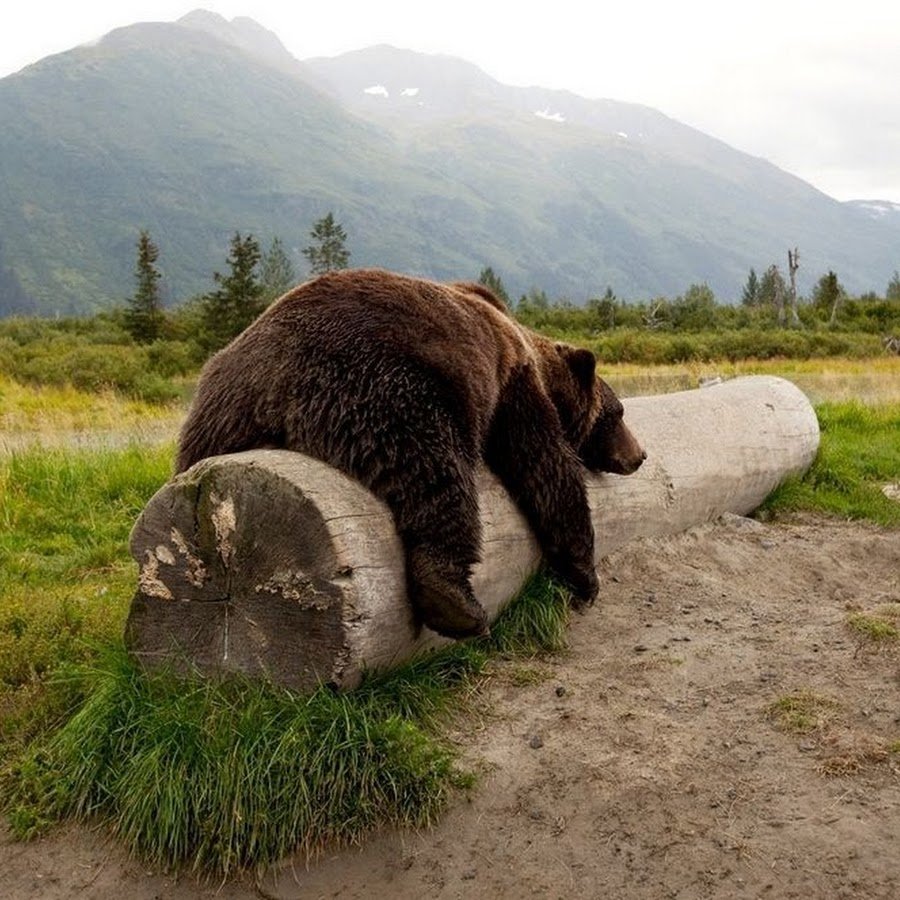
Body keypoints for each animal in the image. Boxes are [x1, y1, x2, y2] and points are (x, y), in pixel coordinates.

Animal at [176, 268, 646, 638]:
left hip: (216, 418)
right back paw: (457, 604)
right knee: (436, 473)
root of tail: (271, 383)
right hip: (387, 385)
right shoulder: (511, 385)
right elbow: (546, 467)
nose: (639, 455)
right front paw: (585, 578)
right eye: (618, 412)